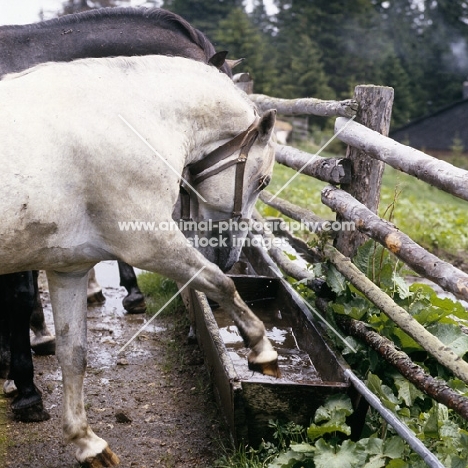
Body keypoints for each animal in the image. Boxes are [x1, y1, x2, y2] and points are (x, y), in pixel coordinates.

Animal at [0, 55, 276, 468]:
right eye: (264, 182)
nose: (228, 255)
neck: (132, 117)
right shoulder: (148, 243)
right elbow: (218, 282)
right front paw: (262, 349)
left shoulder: (68, 269)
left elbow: (74, 355)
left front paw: (87, 443)